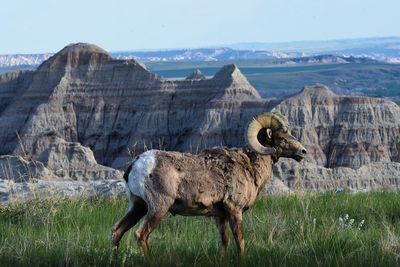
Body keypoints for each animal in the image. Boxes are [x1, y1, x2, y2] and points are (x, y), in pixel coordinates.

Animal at [111, 112, 306, 256]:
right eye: (282, 138)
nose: (303, 151)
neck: (250, 168)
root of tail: (137, 164)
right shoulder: (234, 210)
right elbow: (240, 242)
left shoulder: (220, 217)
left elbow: (224, 242)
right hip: (158, 208)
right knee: (141, 235)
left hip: (138, 207)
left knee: (117, 231)